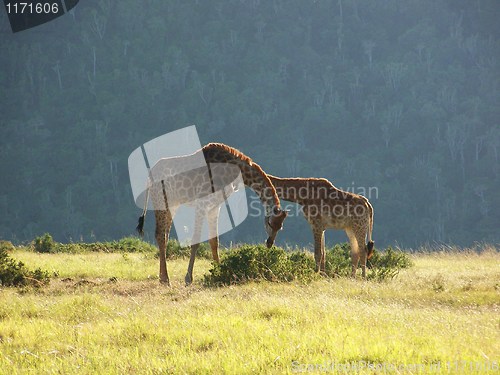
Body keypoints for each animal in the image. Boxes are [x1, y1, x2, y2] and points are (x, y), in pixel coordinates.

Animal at [136, 143, 290, 284]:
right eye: (270, 223)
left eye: (280, 227)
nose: (269, 243)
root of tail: (148, 177)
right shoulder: (202, 204)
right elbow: (196, 240)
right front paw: (188, 278)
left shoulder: (215, 206)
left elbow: (214, 240)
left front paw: (218, 271)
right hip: (161, 200)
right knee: (160, 235)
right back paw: (165, 279)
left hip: (173, 203)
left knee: (164, 234)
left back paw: (163, 278)